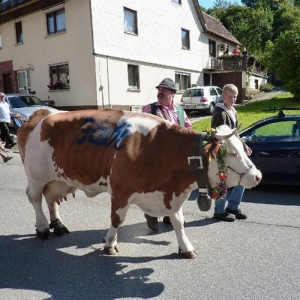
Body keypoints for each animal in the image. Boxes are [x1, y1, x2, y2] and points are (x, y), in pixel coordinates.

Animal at [17, 108, 260, 258]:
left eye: (242, 147)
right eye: (230, 152)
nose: (258, 176)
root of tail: (41, 113)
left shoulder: (169, 194)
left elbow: (179, 222)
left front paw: (186, 247)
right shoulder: (120, 191)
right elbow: (117, 219)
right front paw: (109, 243)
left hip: (55, 178)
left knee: (50, 198)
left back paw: (58, 225)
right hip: (36, 175)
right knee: (35, 198)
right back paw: (42, 228)